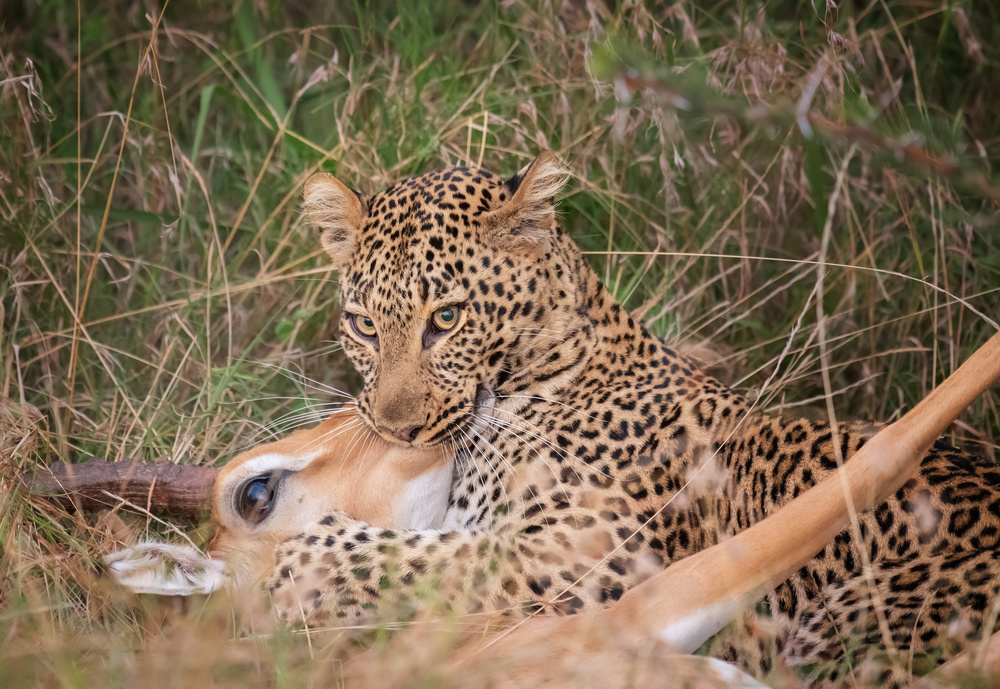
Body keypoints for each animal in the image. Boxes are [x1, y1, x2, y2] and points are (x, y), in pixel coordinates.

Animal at [272, 152, 1000, 687]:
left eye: (446, 319)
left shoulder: (572, 565)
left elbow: (418, 558)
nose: (396, 430)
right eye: (364, 325)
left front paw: (295, 558)